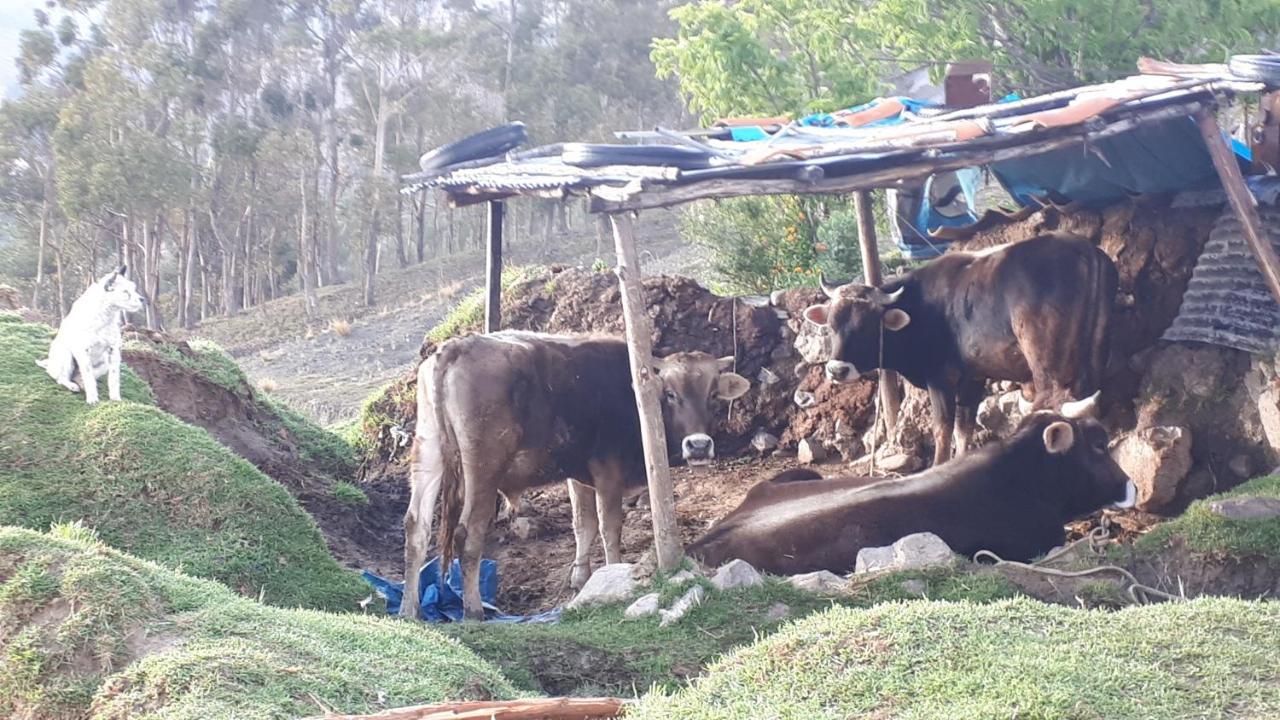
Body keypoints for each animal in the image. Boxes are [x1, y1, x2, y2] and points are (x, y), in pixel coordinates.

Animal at [37, 265, 146, 404]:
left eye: (134, 288)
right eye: (125, 292)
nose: (143, 299)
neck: (105, 316)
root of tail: (49, 363)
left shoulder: (114, 351)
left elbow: (114, 378)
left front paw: (115, 398)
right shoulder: (83, 351)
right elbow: (88, 376)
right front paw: (92, 399)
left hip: (104, 362)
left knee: (81, 375)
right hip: (66, 357)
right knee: (61, 378)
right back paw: (72, 385)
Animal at [803, 233, 1116, 461]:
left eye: (868, 325)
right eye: (831, 325)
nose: (837, 370)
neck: (919, 309)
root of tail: (1083, 247)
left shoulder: (941, 378)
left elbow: (943, 429)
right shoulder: (972, 378)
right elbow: (964, 429)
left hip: (1046, 367)